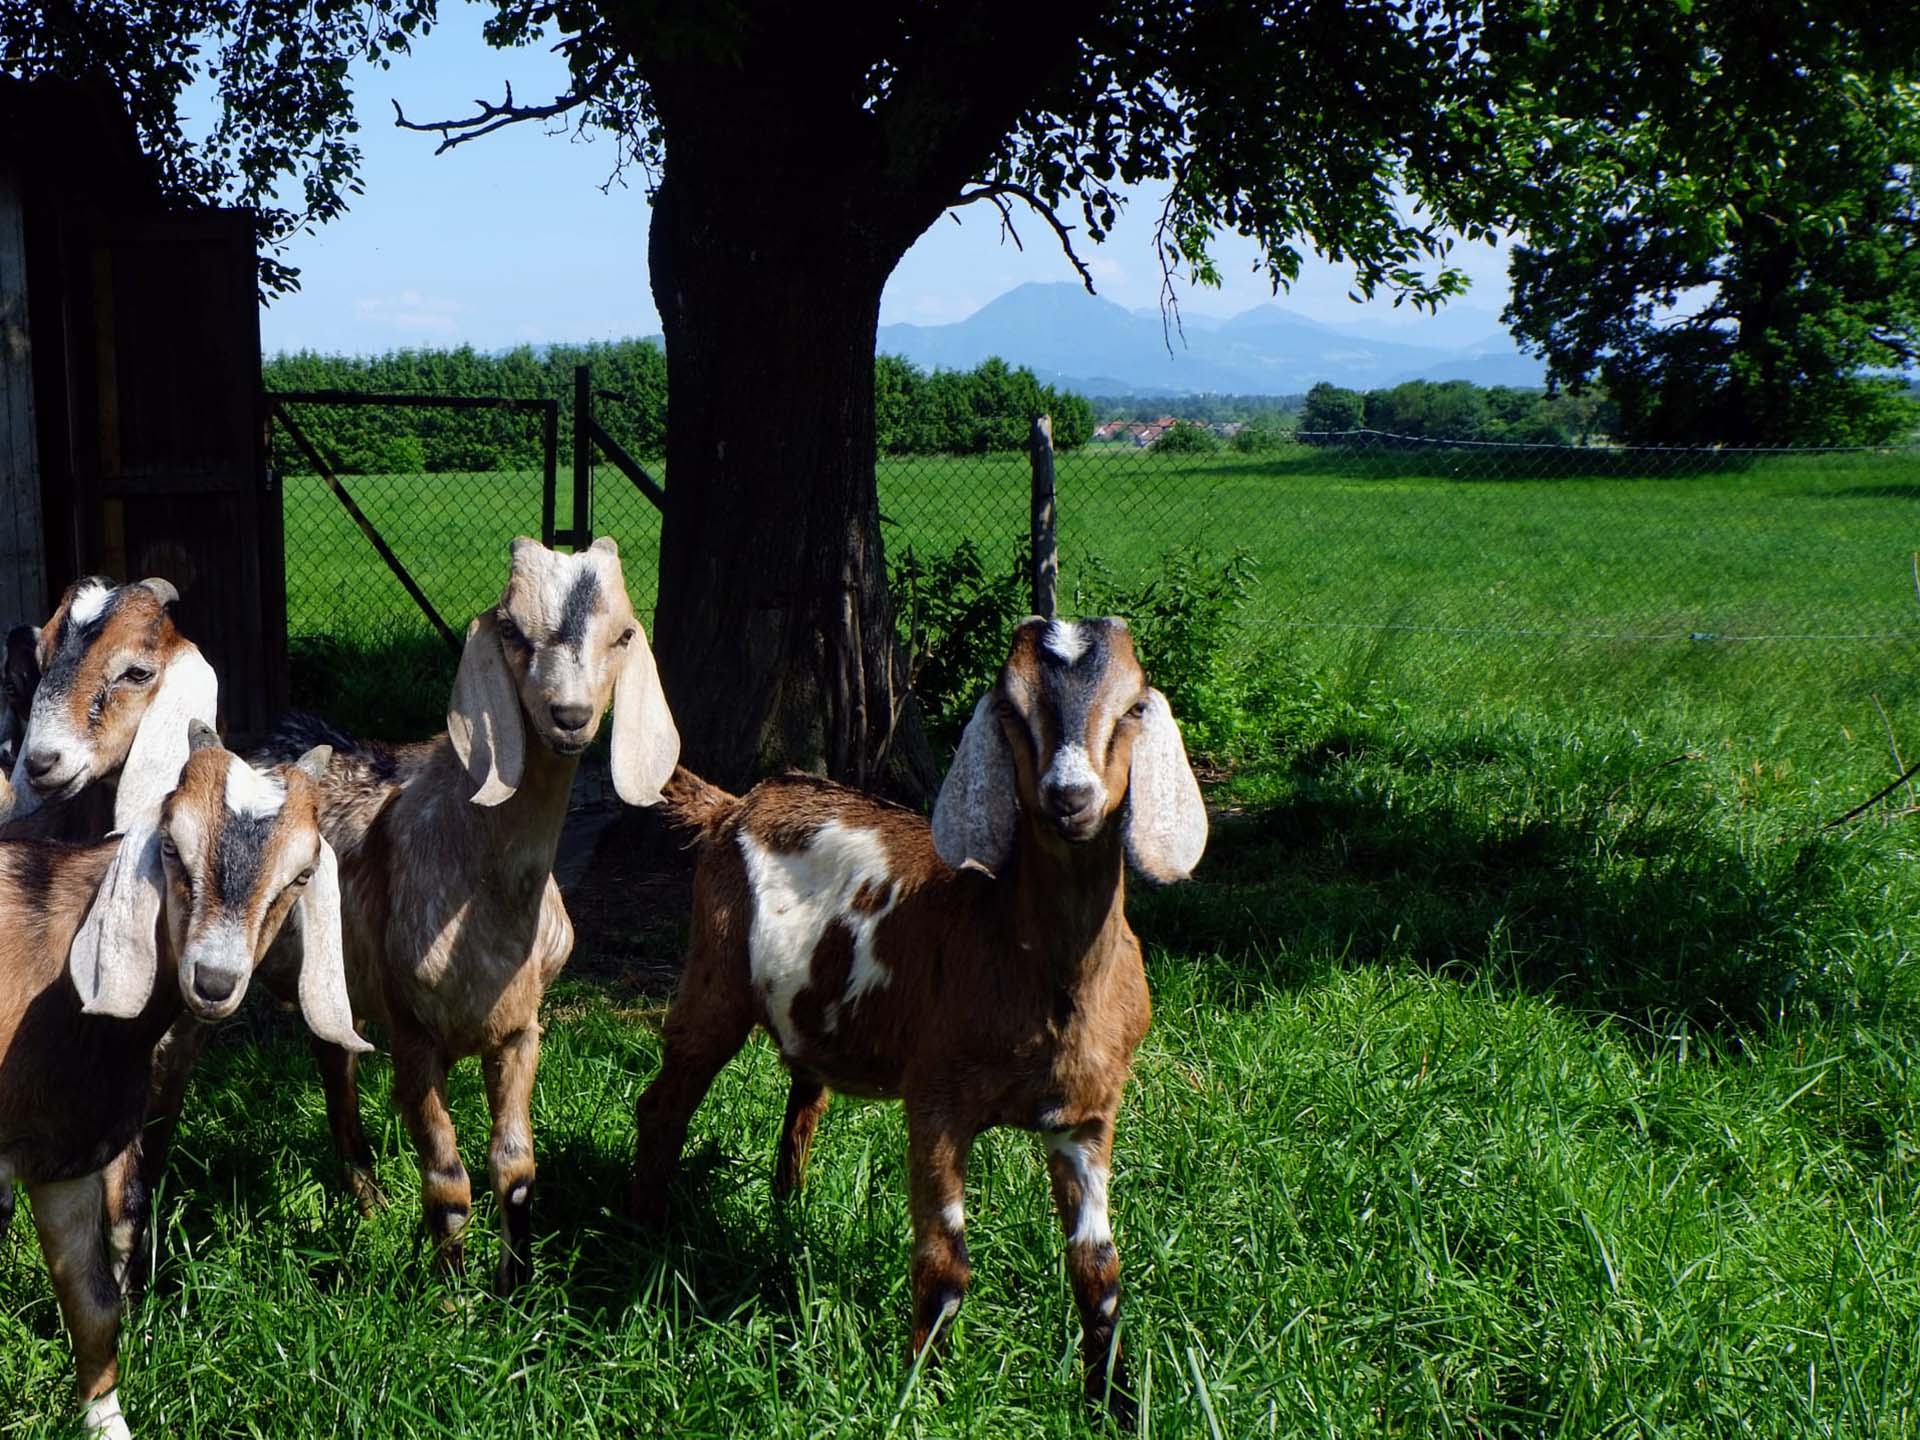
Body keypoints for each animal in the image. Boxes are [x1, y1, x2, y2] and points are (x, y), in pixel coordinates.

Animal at [0, 723, 362, 1440]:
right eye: (171, 845)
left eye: (302, 873)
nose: (215, 982)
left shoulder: (66, 1155)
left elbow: (94, 1303)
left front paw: (107, 1422)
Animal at [631, 615, 1207, 1416]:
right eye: (1011, 712)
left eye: (1131, 708)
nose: (1069, 796)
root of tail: (734, 807)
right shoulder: (936, 1098)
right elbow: (944, 1264)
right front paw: (917, 1394)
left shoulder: (1089, 1117)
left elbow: (1099, 1272)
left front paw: (1113, 1405)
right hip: (714, 974)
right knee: (664, 1101)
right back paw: (649, 1234)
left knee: (803, 1094)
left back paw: (787, 1212)